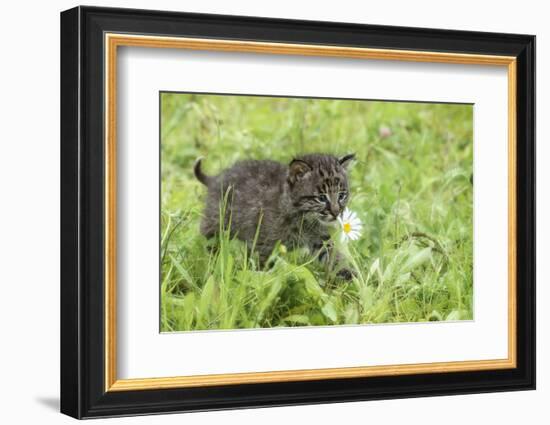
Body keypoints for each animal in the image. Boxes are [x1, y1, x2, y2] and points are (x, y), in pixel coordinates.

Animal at [194, 152, 358, 278]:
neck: (303, 218)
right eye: (322, 198)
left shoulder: (322, 239)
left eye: (342, 196)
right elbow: (262, 266)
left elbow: (334, 255)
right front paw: (261, 281)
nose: (336, 212)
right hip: (217, 221)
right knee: (207, 236)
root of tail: (216, 178)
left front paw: (349, 275)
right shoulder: (264, 244)